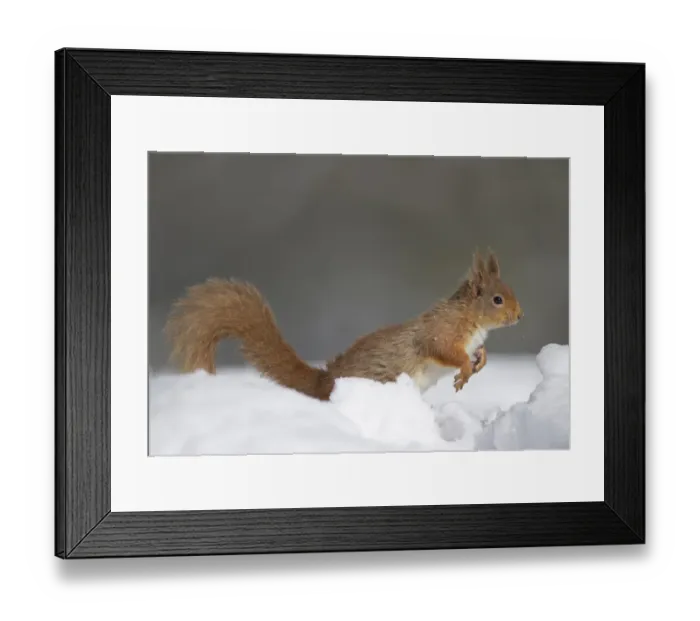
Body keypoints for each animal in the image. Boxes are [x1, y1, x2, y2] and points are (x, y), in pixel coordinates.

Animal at [164, 250, 523, 401]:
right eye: (497, 299)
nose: (520, 316)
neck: (470, 319)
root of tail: (324, 382)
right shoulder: (441, 332)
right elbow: (444, 350)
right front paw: (463, 370)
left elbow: (479, 353)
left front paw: (480, 362)